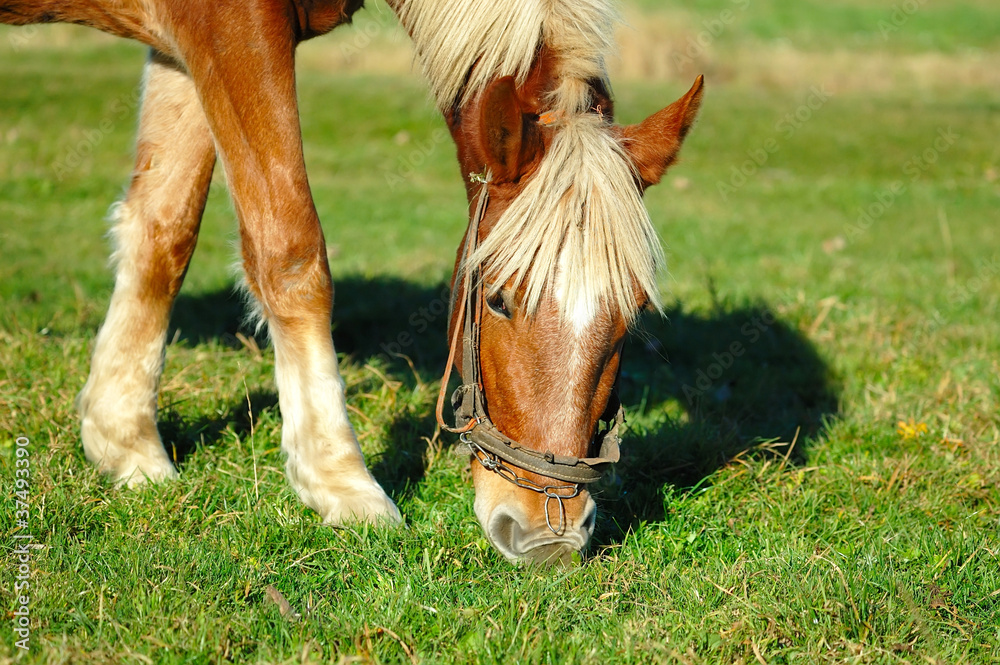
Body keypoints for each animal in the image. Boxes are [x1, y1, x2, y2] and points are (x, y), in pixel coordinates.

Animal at [0, 0, 704, 564]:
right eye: (499, 299)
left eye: (633, 315)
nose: (546, 537)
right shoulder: (231, 29)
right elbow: (289, 249)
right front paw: (342, 482)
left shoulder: (182, 46)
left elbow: (163, 229)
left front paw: (127, 444)